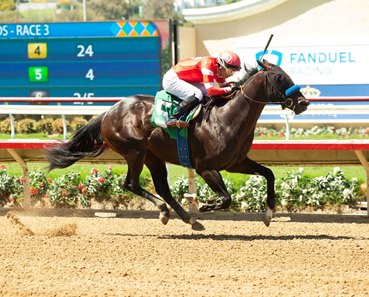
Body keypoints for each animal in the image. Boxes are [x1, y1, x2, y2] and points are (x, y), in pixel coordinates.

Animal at [47, 60, 310, 230]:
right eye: (279, 77)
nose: (303, 103)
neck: (227, 117)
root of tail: (109, 111)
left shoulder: (236, 163)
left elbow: (269, 174)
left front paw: (269, 213)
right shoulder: (205, 167)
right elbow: (226, 198)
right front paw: (205, 206)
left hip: (153, 156)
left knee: (162, 188)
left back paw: (187, 219)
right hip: (135, 152)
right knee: (131, 183)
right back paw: (169, 212)